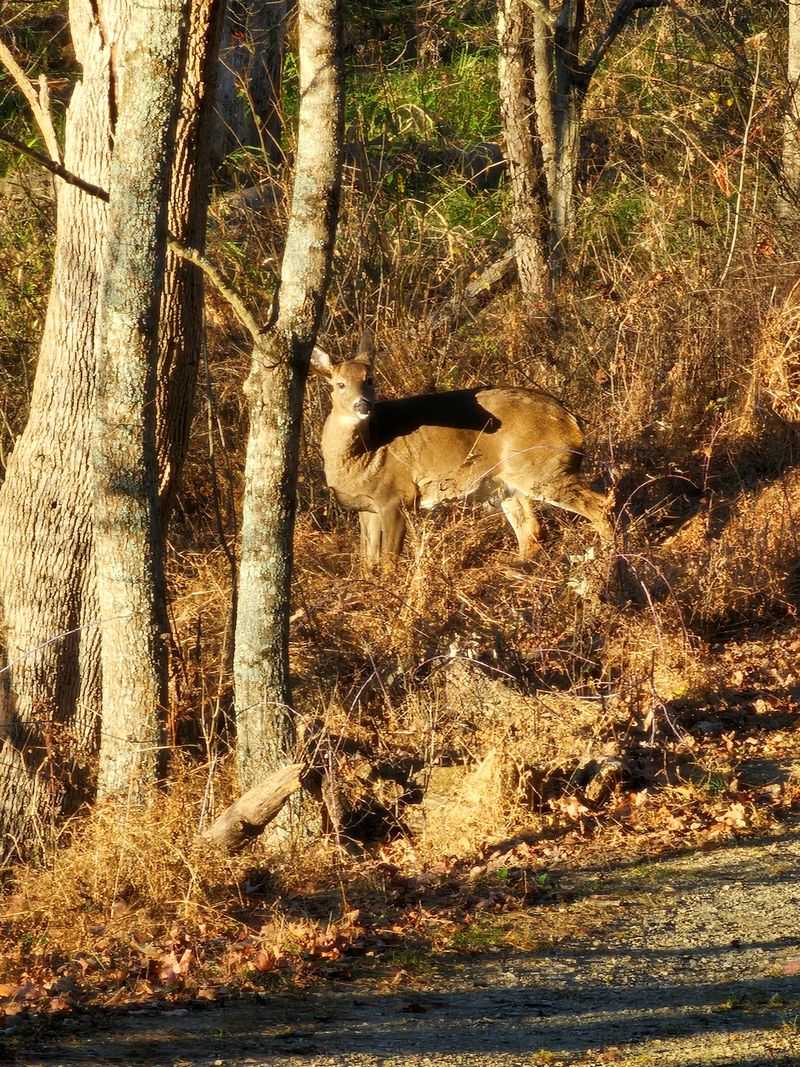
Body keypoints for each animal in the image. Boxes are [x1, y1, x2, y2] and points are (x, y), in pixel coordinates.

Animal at [311, 332, 614, 565]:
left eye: (370, 379)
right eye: (339, 384)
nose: (363, 404)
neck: (365, 454)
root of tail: (571, 420)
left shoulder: (397, 496)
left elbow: (388, 561)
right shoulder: (366, 507)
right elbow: (368, 561)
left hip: (543, 468)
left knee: (599, 505)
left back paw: (606, 560)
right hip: (506, 483)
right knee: (532, 531)